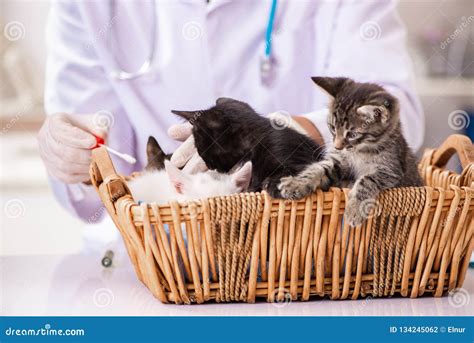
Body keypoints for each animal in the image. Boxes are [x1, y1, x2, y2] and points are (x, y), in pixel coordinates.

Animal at [278, 78, 422, 228]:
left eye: (352, 134)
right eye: (332, 128)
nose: (337, 147)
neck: (361, 151)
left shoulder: (391, 171)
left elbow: (366, 180)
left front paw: (355, 209)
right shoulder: (338, 160)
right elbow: (319, 168)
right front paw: (296, 183)